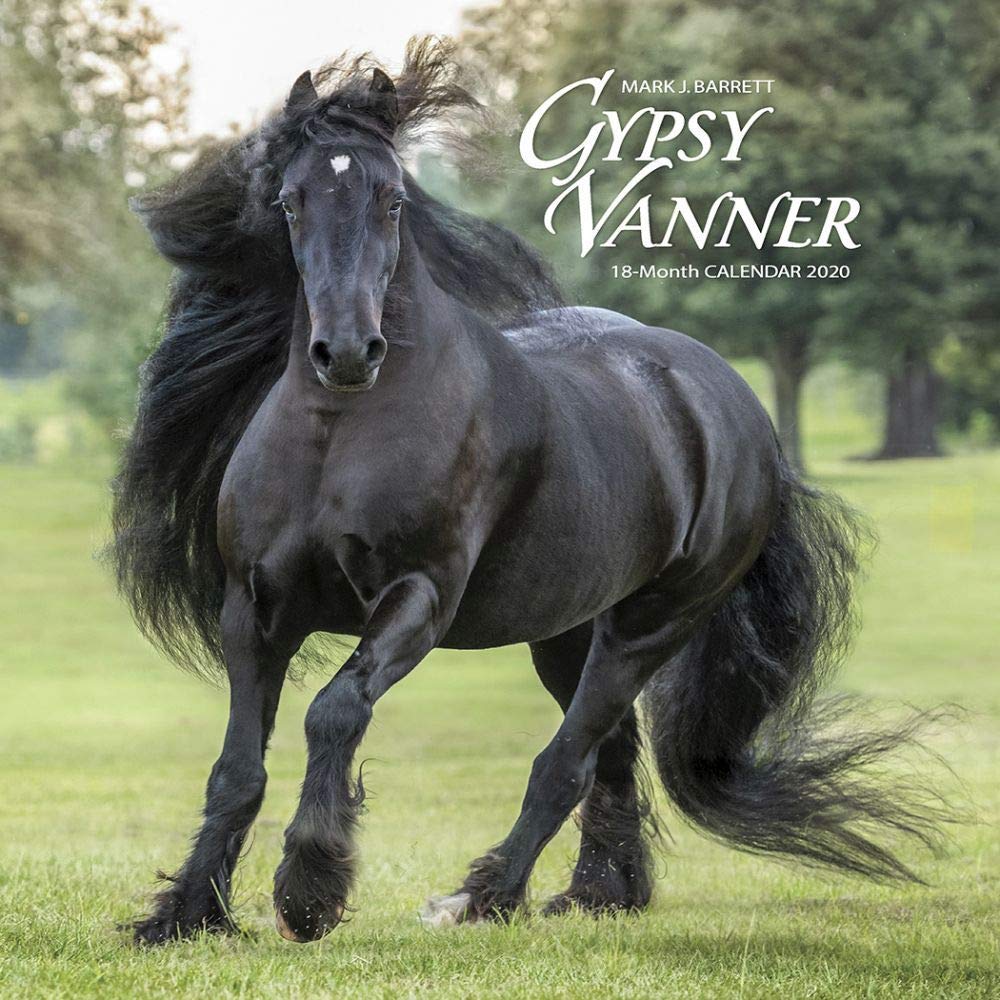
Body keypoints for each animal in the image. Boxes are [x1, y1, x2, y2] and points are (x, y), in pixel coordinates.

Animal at [112, 39, 944, 945]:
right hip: (566, 631)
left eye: (392, 200)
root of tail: (740, 413)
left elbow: (334, 712)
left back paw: (481, 898)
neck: (339, 433)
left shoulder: (416, 600)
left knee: (565, 762)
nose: (348, 351)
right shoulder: (255, 608)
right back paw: (598, 893)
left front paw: (308, 893)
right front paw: (185, 913)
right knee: (610, 754)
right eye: (289, 201)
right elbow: (236, 768)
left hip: (648, 626)